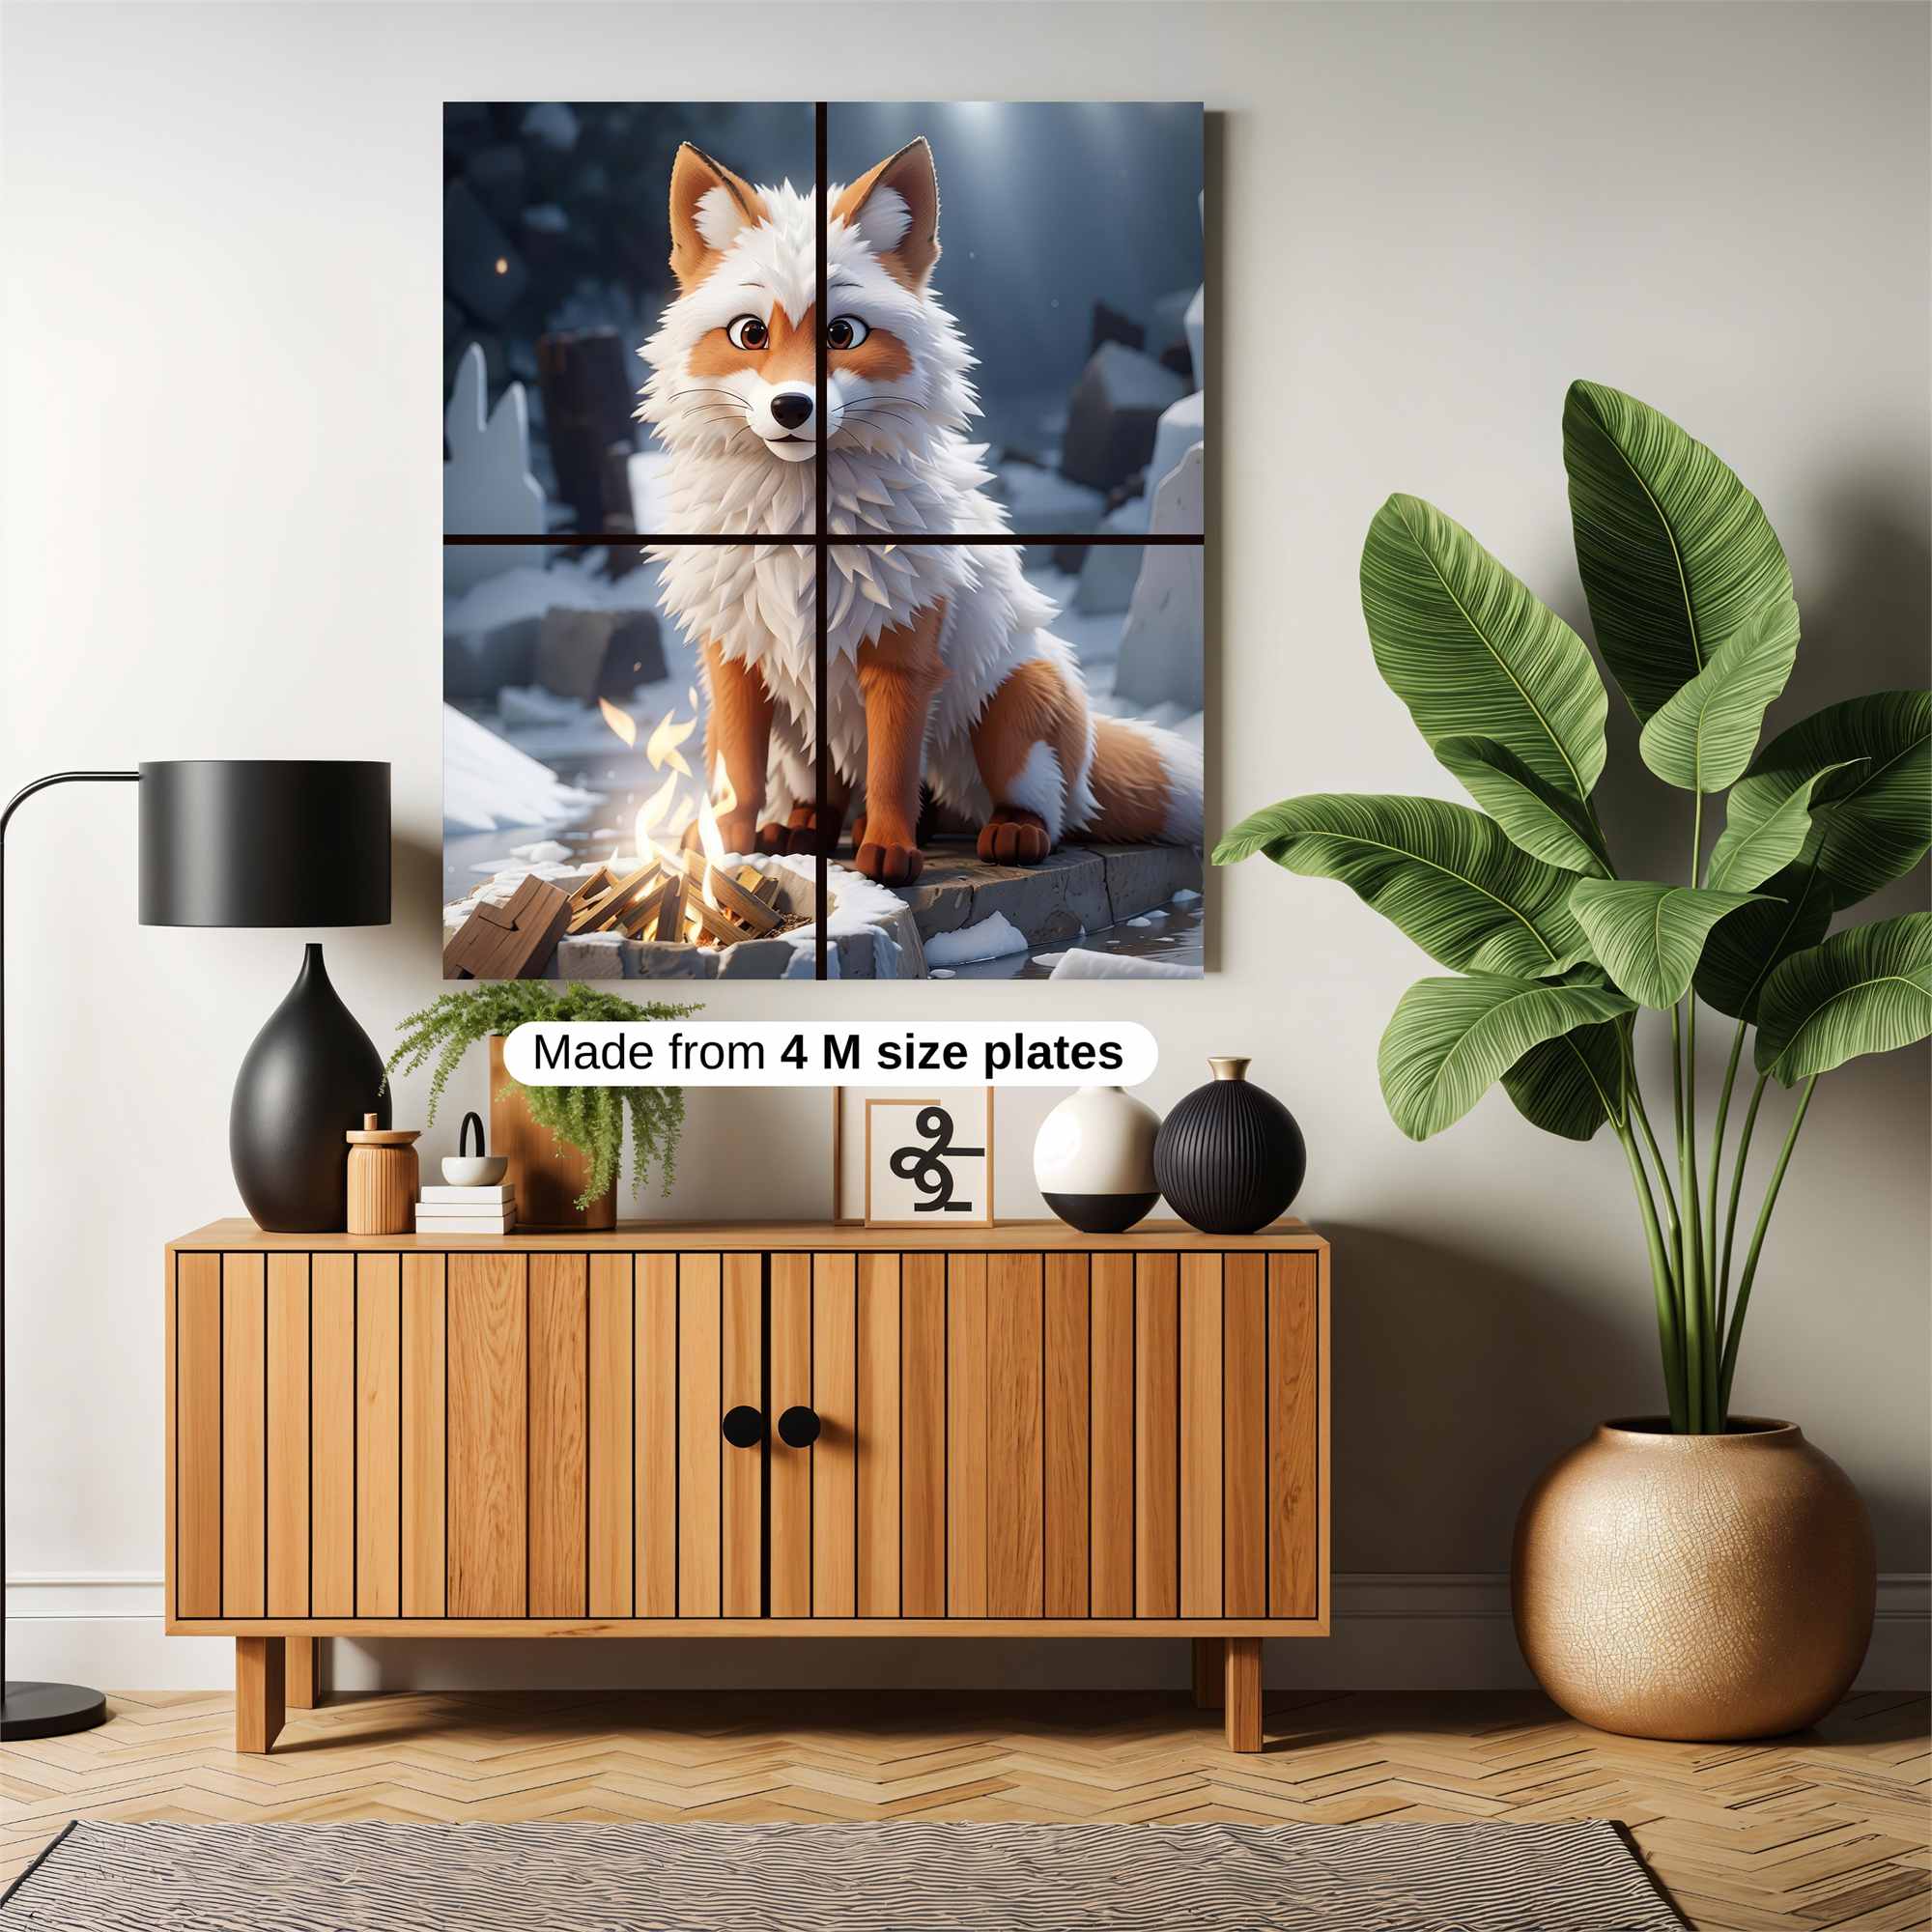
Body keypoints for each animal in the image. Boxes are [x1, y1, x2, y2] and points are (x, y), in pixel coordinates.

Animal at [637, 136, 1202, 886]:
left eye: (843, 334)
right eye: (751, 334)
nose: (792, 408)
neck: (799, 537)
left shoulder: (902, 656)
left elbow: (892, 772)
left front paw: (888, 854)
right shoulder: (737, 656)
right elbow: (737, 771)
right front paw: (727, 848)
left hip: (1015, 702)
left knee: (1040, 809)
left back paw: (1006, 832)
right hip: (807, 730)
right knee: (832, 790)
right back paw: (805, 827)